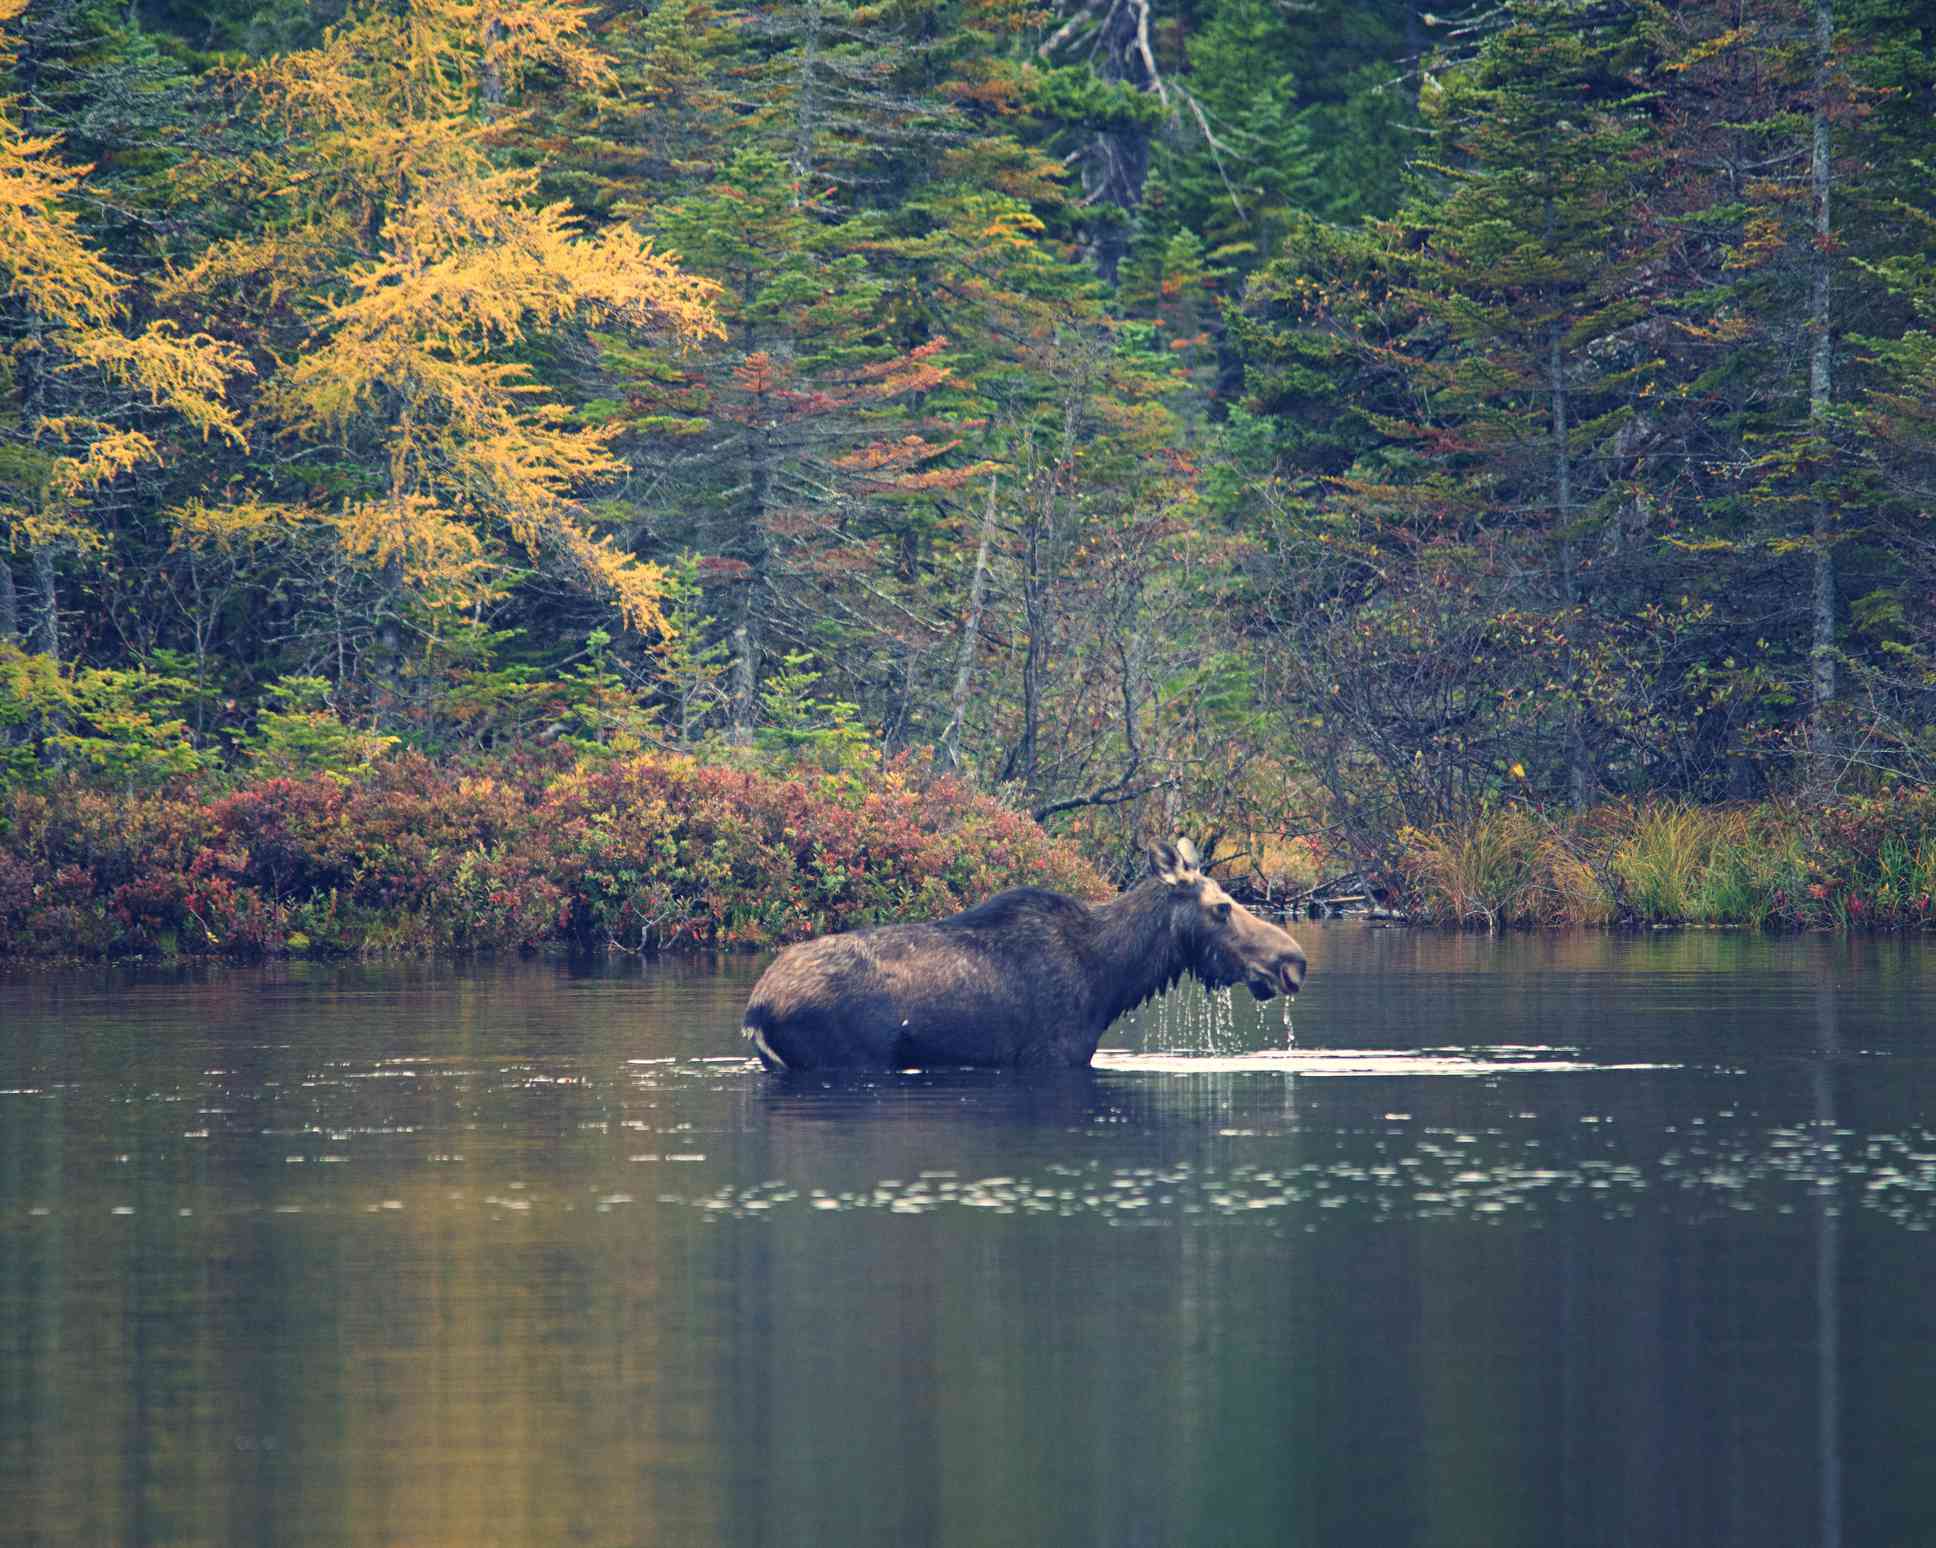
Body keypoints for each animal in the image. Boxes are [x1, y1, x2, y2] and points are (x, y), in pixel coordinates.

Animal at [747, 839, 1308, 1068]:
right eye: (1222, 907)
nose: (1294, 963)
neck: (1111, 980)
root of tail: (756, 1009)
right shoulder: (1053, 1057)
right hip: (849, 1060)